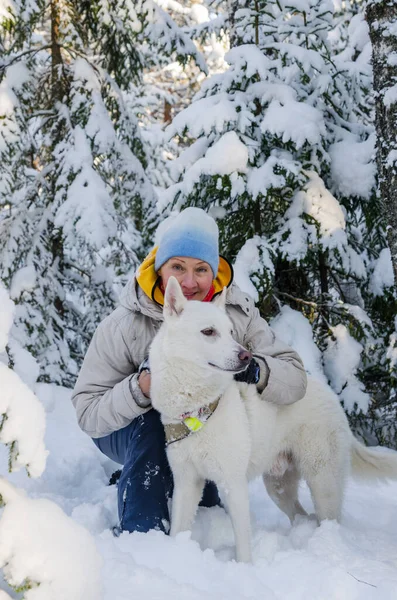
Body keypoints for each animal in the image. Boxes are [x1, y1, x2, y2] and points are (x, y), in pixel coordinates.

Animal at [149, 276, 397, 564]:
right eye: (208, 332)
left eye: (231, 332)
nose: (246, 356)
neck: (196, 407)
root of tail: (332, 398)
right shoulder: (186, 482)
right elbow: (178, 529)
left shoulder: (233, 483)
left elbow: (243, 544)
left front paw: (244, 568)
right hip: (278, 486)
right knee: (301, 515)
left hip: (323, 481)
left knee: (329, 519)